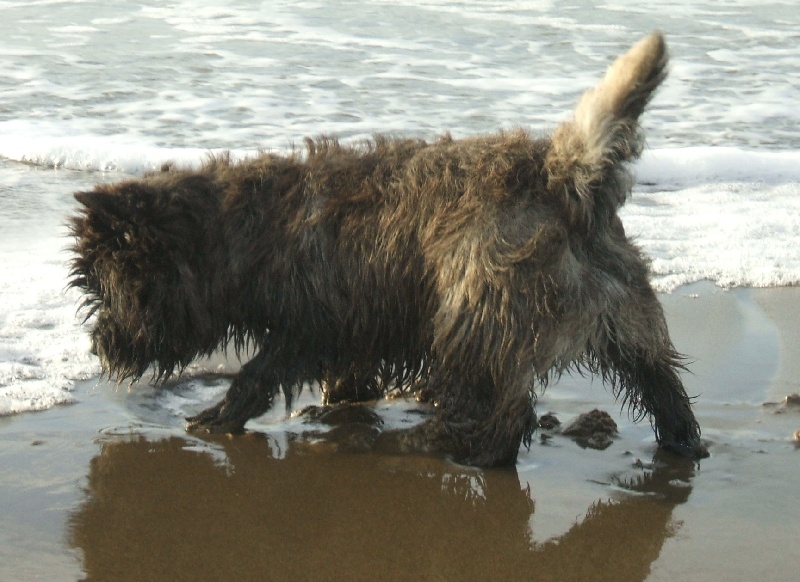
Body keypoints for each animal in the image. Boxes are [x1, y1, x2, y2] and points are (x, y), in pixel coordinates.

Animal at [69, 32, 708, 466]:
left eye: (108, 287)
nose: (99, 346)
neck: (240, 231)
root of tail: (562, 177)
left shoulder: (312, 323)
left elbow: (257, 372)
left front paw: (217, 416)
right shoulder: (353, 326)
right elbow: (347, 378)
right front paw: (341, 406)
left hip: (474, 312)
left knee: (506, 408)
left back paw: (443, 443)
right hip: (628, 318)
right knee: (663, 386)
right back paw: (682, 445)